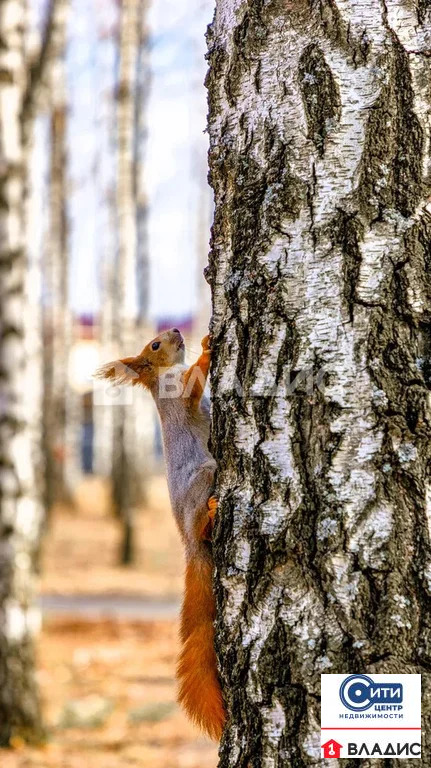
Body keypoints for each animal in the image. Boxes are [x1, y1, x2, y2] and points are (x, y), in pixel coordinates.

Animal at [97, 328, 226, 736]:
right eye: (154, 345)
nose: (176, 331)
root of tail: (189, 544)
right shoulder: (179, 394)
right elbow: (193, 386)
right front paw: (206, 350)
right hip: (204, 477)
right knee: (202, 523)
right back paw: (210, 514)